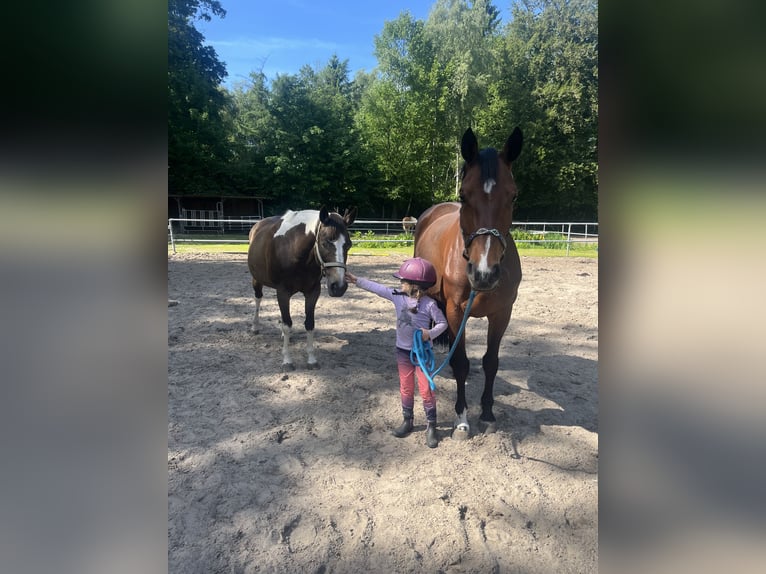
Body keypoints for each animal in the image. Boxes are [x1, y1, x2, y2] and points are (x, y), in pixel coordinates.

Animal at [248, 206, 357, 370]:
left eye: (348, 245)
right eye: (324, 243)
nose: (339, 287)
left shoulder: (312, 292)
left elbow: (309, 324)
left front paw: (311, 359)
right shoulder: (283, 292)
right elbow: (287, 325)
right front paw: (287, 360)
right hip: (257, 280)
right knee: (258, 299)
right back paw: (255, 327)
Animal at [414, 127, 523, 439]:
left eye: (513, 196)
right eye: (464, 194)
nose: (484, 273)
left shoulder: (502, 313)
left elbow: (490, 362)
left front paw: (487, 413)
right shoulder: (455, 310)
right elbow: (461, 362)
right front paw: (462, 418)